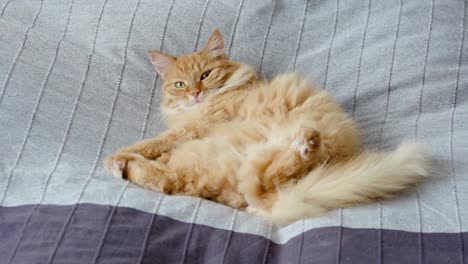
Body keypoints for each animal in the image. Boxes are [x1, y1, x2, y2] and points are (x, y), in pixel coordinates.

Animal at [105, 29, 428, 223]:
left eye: (206, 75)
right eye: (180, 85)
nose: (195, 93)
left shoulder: (197, 127)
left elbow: (153, 141)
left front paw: (118, 154)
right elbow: (158, 148)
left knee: (173, 179)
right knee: (169, 179)